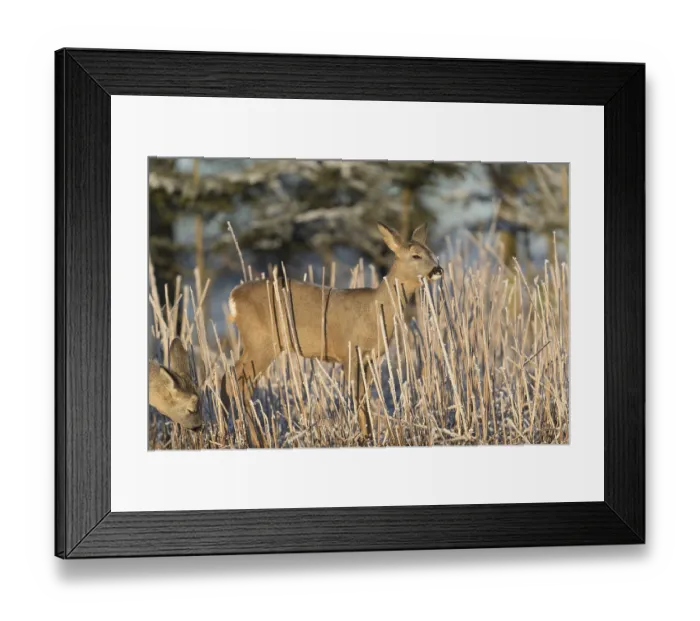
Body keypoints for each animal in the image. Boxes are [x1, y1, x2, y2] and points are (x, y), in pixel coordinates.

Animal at [224, 222, 443, 447]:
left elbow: (365, 397)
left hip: (255, 344)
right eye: (415, 255)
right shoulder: (351, 352)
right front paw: (364, 437)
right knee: (237, 381)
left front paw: (369, 435)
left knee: (230, 378)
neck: (375, 308)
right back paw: (257, 440)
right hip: (261, 342)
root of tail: (233, 297)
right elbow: (356, 397)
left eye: (431, 253)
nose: (438, 269)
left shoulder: (369, 358)